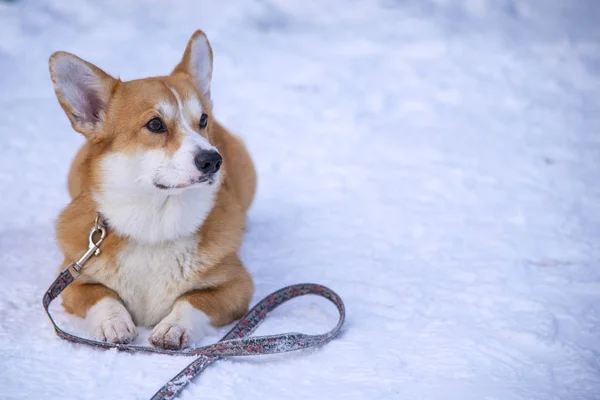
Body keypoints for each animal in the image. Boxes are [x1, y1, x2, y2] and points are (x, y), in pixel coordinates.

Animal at [50, 30, 256, 350]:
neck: (154, 227)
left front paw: (173, 327)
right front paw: (114, 323)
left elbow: (192, 301)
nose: (213, 160)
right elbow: (103, 296)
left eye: (203, 120)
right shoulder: (75, 279)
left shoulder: (236, 286)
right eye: (156, 124)